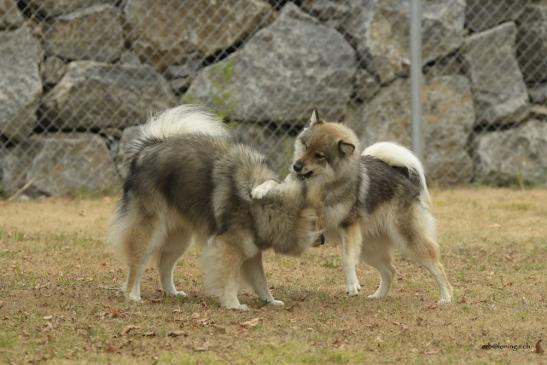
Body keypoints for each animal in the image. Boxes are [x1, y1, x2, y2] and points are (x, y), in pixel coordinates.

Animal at [255, 111, 456, 304]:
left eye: (319, 156)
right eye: (305, 146)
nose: (296, 166)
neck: (320, 185)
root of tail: (401, 173)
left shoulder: (347, 226)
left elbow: (347, 260)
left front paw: (352, 284)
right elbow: (273, 183)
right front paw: (259, 190)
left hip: (408, 240)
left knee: (436, 266)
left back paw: (446, 297)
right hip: (369, 248)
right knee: (390, 271)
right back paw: (378, 296)